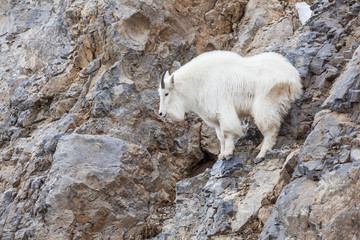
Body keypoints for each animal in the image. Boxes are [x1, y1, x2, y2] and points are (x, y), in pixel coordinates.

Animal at [159, 50, 302, 159]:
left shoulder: (223, 110)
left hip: (265, 104)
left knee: (270, 129)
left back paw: (262, 154)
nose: (161, 113)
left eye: (166, 93)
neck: (199, 82)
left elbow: (227, 133)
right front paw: (221, 155)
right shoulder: (216, 120)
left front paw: (228, 153)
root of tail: (293, 78)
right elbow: (220, 137)